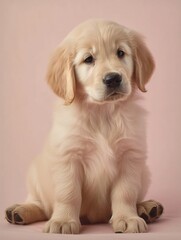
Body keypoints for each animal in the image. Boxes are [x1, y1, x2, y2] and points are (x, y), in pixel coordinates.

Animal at [5, 19, 163, 233]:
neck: (102, 114)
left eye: (120, 53)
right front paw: (63, 221)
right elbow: (68, 194)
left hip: (145, 173)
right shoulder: (68, 157)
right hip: (35, 174)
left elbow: (125, 192)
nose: (113, 78)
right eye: (88, 59)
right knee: (41, 205)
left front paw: (128, 218)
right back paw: (20, 211)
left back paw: (147, 207)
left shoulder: (130, 156)